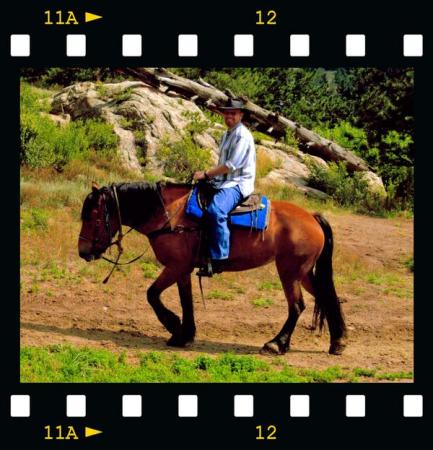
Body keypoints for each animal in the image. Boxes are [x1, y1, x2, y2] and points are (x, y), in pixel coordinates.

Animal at [78, 182, 348, 356]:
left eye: (93, 217)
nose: (82, 251)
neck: (169, 215)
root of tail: (312, 217)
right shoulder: (183, 269)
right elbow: (186, 300)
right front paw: (184, 334)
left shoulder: (176, 266)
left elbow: (152, 294)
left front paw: (173, 324)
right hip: (303, 273)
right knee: (327, 297)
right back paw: (338, 341)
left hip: (289, 272)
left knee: (297, 306)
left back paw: (277, 343)